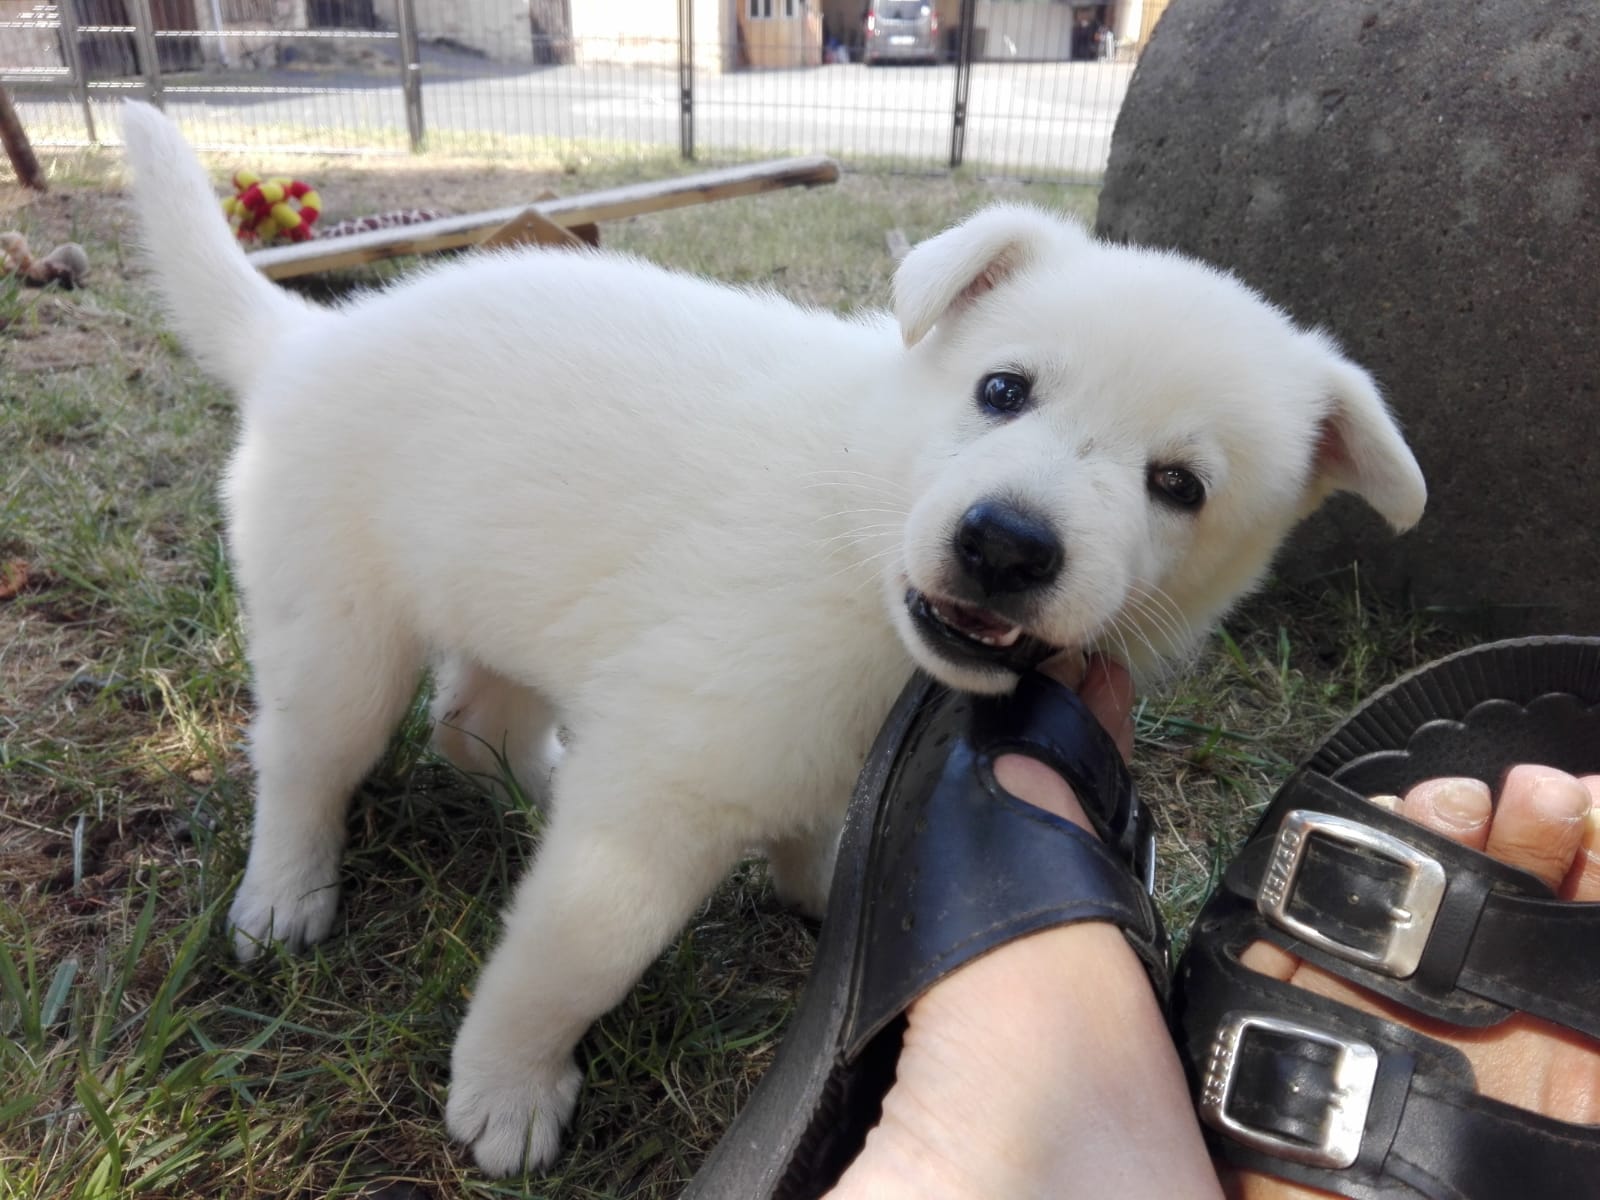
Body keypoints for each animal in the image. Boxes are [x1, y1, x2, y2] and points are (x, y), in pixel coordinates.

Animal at [120, 102, 1425, 1176]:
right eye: (1002, 390)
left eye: (1179, 486)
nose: (1005, 545)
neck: (863, 525)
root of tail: (303, 339)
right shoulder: (656, 810)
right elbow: (570, 956)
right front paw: (509, 1087)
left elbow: (814, 835)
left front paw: (821, 892)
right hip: (338, 633)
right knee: (306, 764)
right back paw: (285, 895)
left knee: (473, 719)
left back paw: (527, 779)